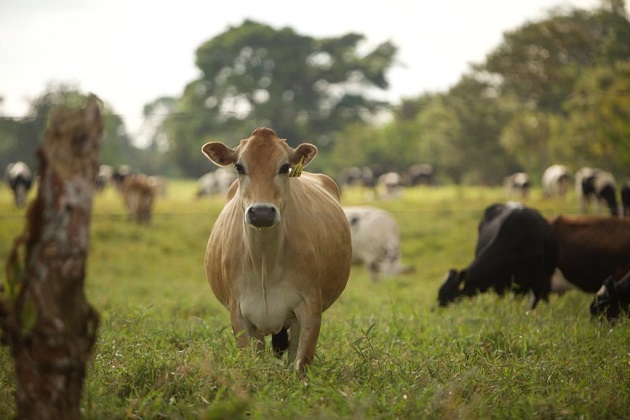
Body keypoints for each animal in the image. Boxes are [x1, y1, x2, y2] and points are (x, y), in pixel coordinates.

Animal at [202, 127, 354, 370]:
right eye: (239, 167)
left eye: (284, 167)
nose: (262, 212)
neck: (265, 259)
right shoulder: (239, 314)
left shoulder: (310, 308)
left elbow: (301, 362)